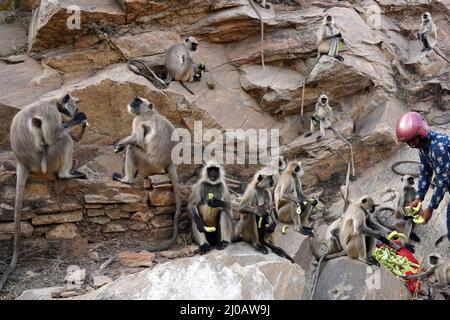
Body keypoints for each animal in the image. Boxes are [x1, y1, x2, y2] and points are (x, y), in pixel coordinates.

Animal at [0, 94, 88, 292]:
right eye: (75, 104)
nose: (77, 110)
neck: (51, 100)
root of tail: (22, 161)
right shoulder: (50, 111)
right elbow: (52, 136)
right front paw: (79, 120)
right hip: (46, 162)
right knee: (63, 140)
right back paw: (66, 174)